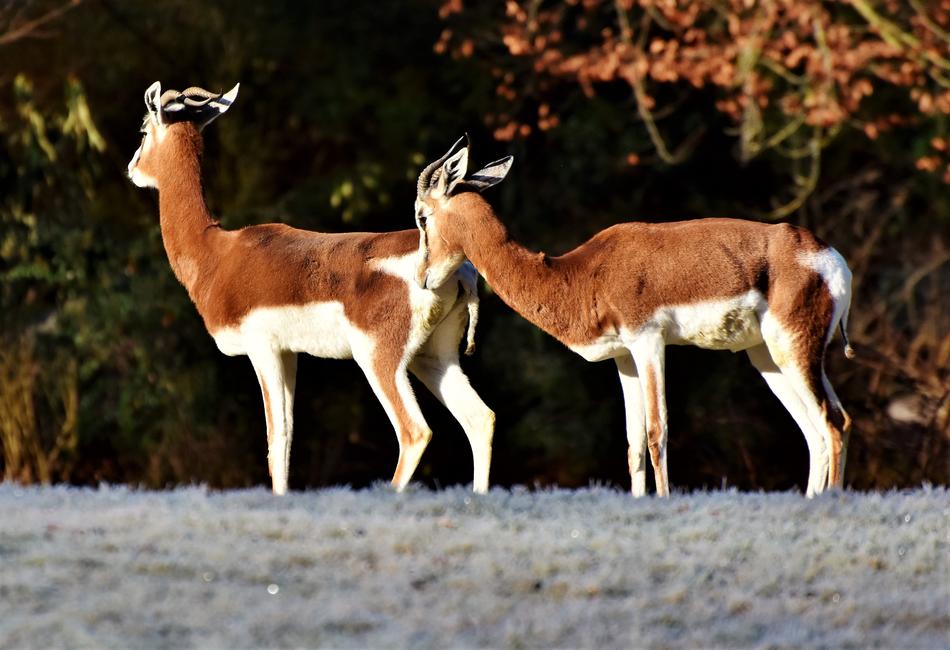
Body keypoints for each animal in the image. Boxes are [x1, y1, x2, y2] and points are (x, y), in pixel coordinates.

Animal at [127, 83, 495, 495]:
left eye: (143, 130)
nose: (132, 168)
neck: (217, 253)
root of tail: (460, 270)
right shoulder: (289, 353)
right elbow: (287, 438)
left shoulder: (263, 350)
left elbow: (276, 438)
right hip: (432, 358)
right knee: (480, 418)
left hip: (378, 360)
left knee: (415, 432)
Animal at [413, 137, 854, 497]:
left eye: (421, 215)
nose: (422, 277)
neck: (583, 273)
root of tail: (831, 258)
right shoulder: (624, 358)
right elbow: (634, 443)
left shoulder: (649, 342)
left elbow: (658, 431)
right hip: (770, 358)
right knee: (819, 429)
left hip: (793, 350)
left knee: (832, 422)